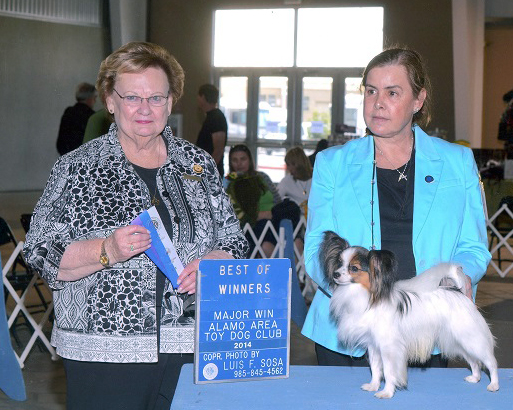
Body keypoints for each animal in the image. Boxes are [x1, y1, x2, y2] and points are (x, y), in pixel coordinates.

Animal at [320, 230, 499, 399]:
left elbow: (389, 372)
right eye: (339, 264)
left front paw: (386, 393)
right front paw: (373, 386)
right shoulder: (373, 345)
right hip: (458, 341)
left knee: (490, 362)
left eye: (354, 268)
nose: (335, 274)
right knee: (474, 361)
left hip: (471, 338)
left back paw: (494, 385)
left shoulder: (389, 347)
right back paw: (475, 378)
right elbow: (376, 369)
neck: (369, 296)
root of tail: (458, 292)